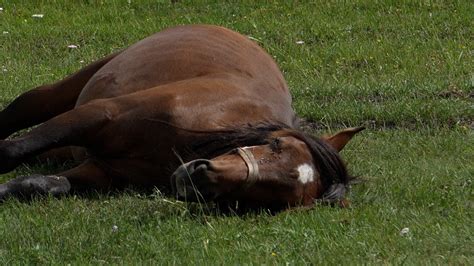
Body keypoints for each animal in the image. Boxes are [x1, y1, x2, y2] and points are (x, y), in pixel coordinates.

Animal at [0, 25, 362, 211]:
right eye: (275, 145)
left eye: (273, 196)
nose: (200, 176)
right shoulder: (100, 114)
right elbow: (12, 151)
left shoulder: (101, 170)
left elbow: (46, 184)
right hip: (74, 85)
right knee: (21, 111)